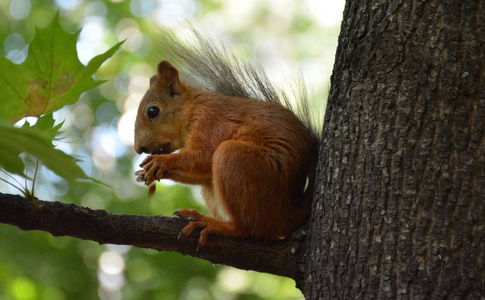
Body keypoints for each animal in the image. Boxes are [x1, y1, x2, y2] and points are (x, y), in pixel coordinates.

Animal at [134, 29, 320, 247]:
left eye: (152, 111)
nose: (138, 148)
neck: (193, 107)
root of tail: (285, 217)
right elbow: (203, 171)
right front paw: (147, 173)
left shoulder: (211, 122)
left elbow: (203, 157)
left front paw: (160, 161)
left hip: (235, 159)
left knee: (246, 228)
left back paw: (212, 224)